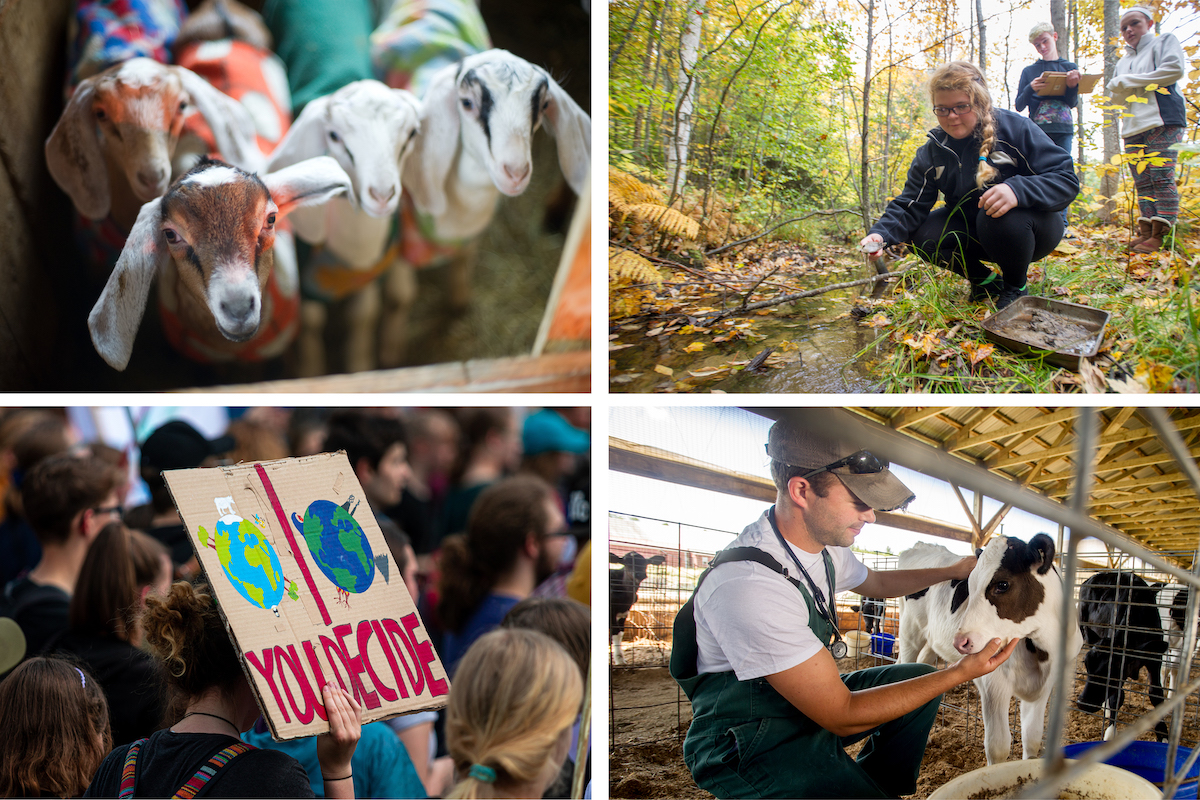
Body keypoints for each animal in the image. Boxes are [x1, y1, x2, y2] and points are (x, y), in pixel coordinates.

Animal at [265, 79, 424, 376]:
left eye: (411, 134)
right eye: (334, 136)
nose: (382, 195)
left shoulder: (369, 274)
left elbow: (363, 315)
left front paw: (360, 367)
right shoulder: (305, 276)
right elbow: (312, 321)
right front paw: (311, 370)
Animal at [379, 51, 590, 371]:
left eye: (543, 105)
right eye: (466, 103)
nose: (515, 172)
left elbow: (465, 258)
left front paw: (458, 302)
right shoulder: (401, 236)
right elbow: (399, 297)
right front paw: (391, 358)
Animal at [897, 534, 1084, 767]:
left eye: (1002, 584)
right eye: (969, 586)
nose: (959, 641)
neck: (1045, 648)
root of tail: (921, 546)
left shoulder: (1044, 685)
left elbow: (1032, 739)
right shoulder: (993, 684)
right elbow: (998, 747)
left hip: (931, 642)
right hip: (909, 632)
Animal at [1075, 575, 1166, 738]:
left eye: (1116, 668)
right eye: (1086, 663)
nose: (1083, 703)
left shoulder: (1155, 659)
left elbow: (1156, 694)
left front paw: (1163, 736)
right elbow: (1116, 697)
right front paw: (1110, 732)